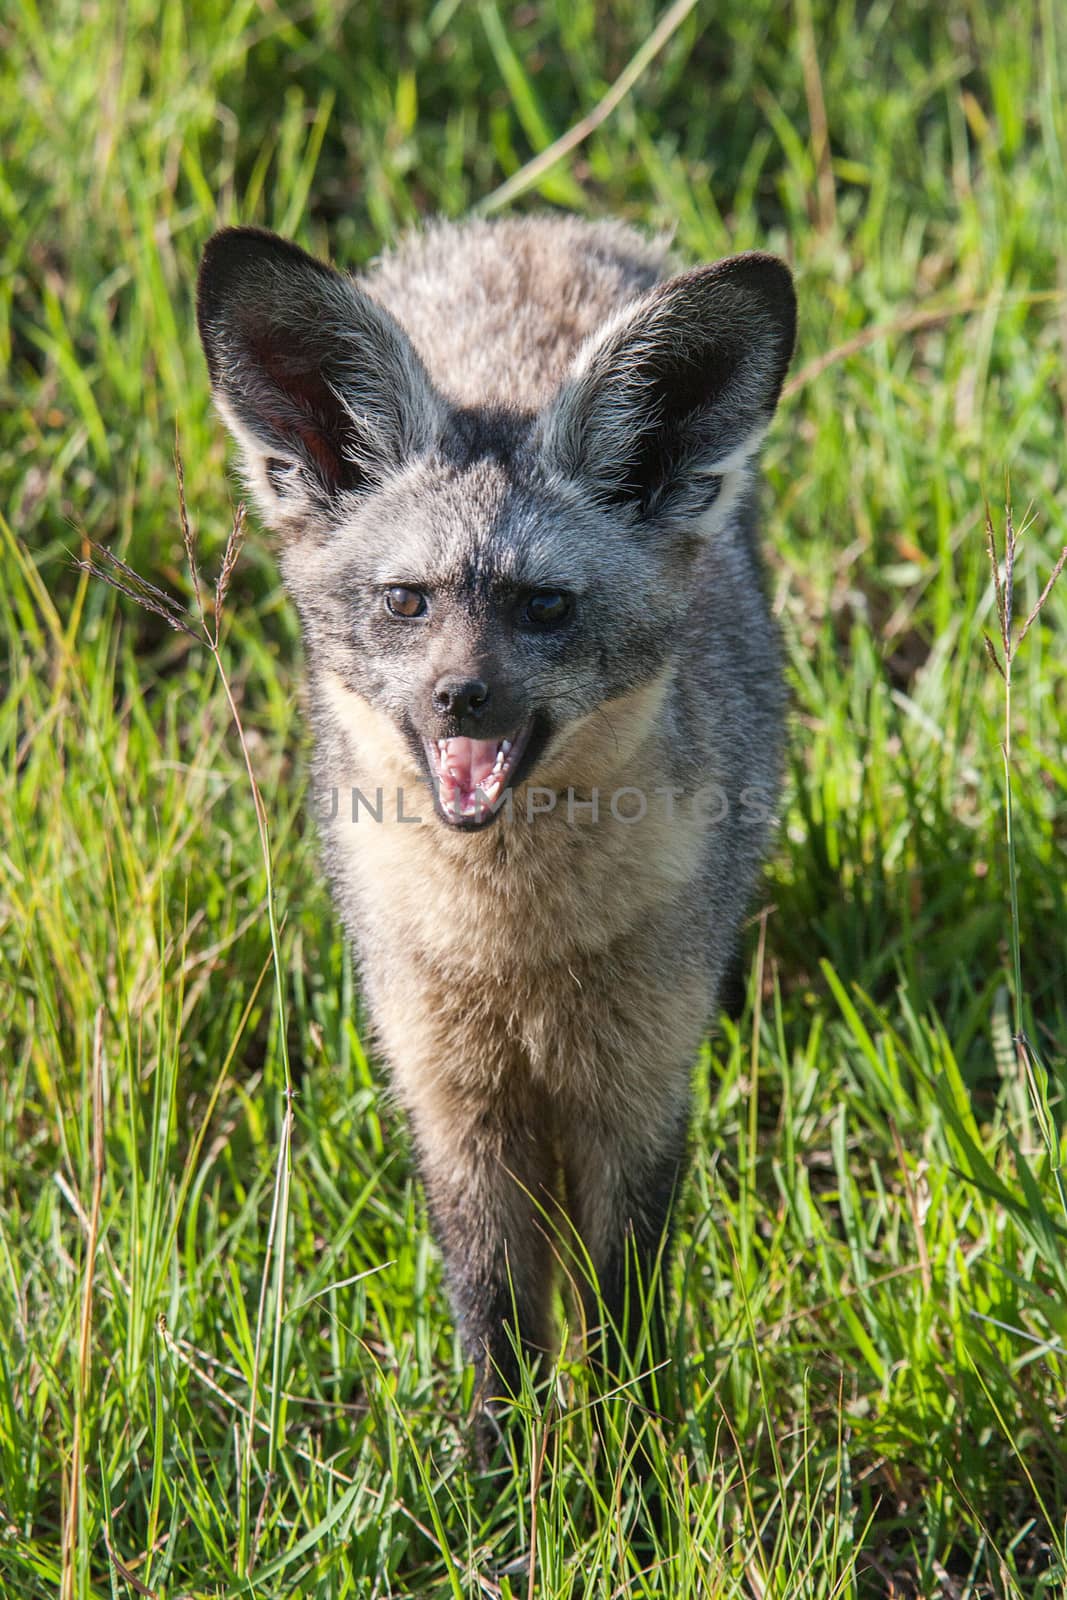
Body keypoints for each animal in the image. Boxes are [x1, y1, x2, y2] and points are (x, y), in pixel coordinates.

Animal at [195, 209, 793, 1440]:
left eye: (544, 607)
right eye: (406, 601)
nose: (459, 698)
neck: (514, 953)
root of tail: (533, 226)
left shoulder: (639, 1089)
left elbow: (620, 1318)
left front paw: (626, 1470)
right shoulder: (448, 1097)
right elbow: (494, 1318)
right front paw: (498, 1475)